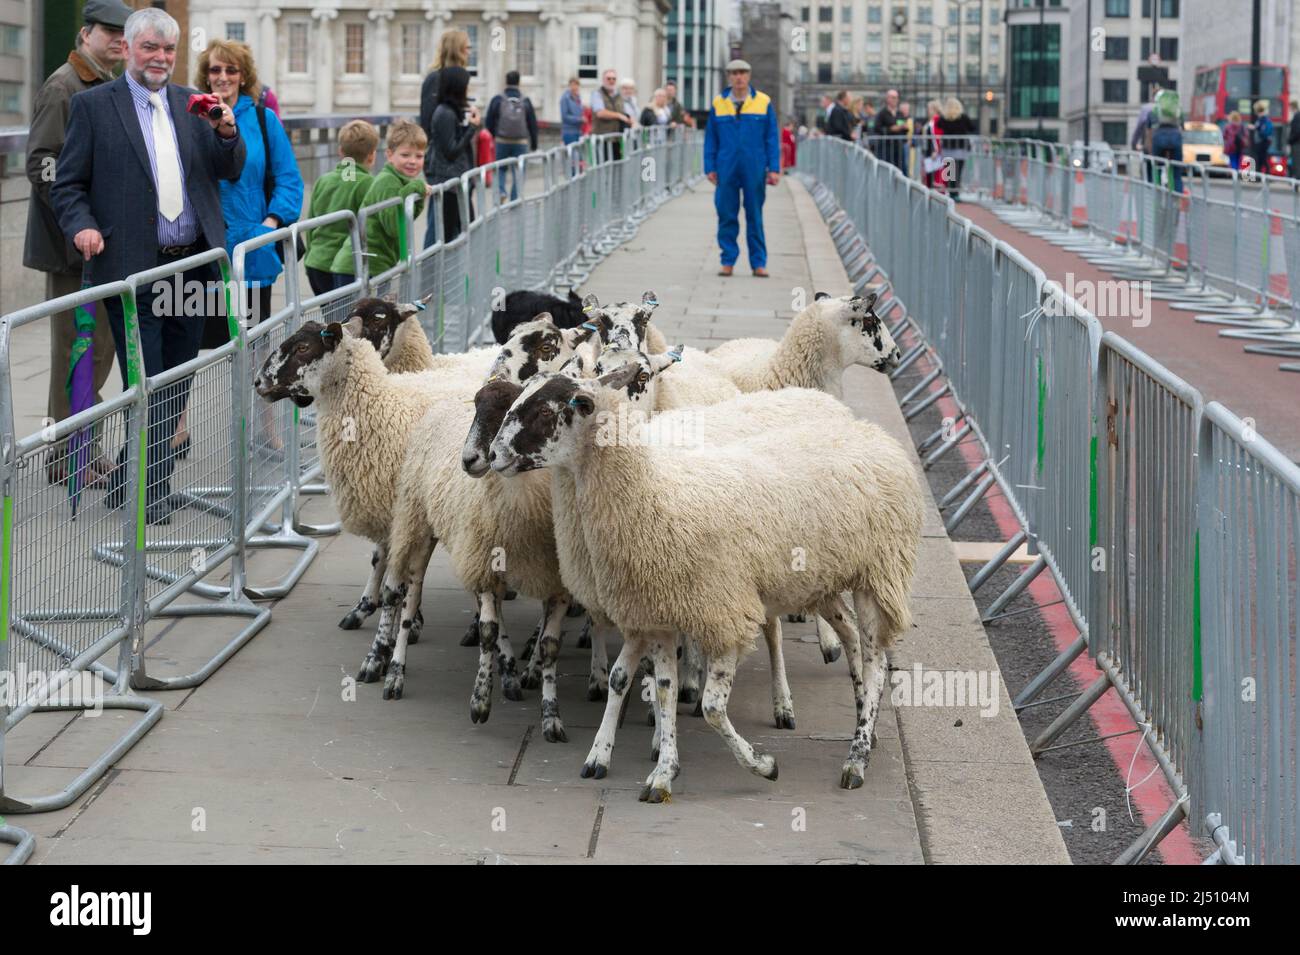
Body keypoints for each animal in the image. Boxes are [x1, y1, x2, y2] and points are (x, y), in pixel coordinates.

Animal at [489, 363, 922, 802]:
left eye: (546, 412)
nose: (492, 455)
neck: (651, 492)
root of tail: (873, 433)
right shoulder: (656, 613)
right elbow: (653, 685)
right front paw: (660, 769)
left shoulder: (725, 615)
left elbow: (713, 708)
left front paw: (762, 765)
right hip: (823, 579)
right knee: (852, 638)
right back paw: (858, 717)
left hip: (879, 573)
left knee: (875, 663)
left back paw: (856, 755)